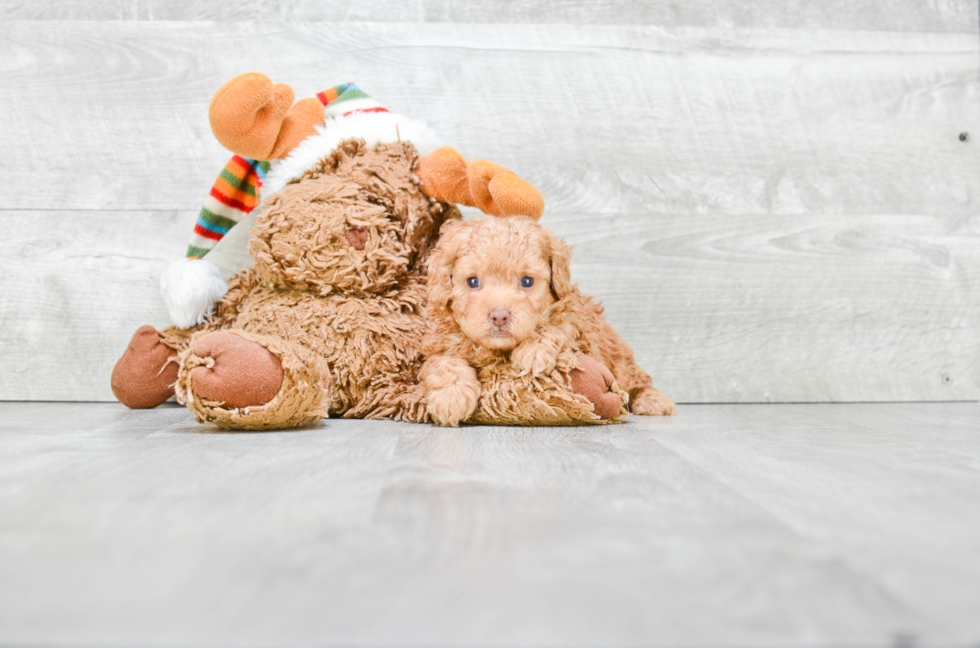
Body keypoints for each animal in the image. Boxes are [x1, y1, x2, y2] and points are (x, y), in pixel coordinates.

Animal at [422, 216, 672, 426]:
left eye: (527, 281)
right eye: (472, 282)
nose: (499, 315)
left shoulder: (577, 325)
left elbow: (555, 327)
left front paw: (534, 350)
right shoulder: (441, 344)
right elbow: (443, 363)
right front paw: (450, 397)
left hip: (619, 358)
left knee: (636, 381)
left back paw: (653, 400)